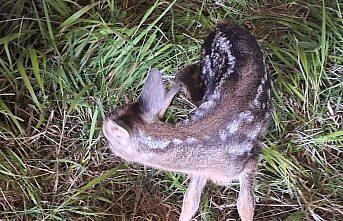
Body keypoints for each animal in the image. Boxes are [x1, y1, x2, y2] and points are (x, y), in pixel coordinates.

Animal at [102, 22, 272, 221]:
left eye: (108, 134)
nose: (108, 146)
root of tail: (222, 25)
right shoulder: (200, 170)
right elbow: (190, 202)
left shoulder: (249, 159)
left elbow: (245, 205)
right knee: (181, 76)